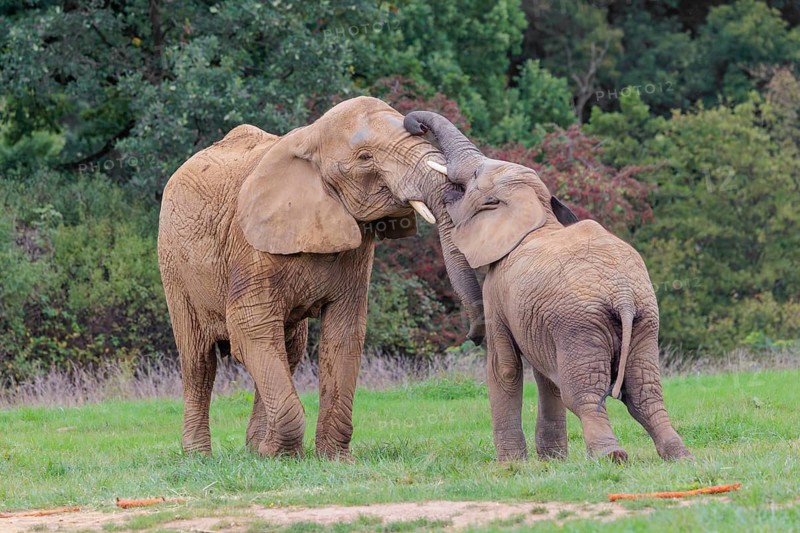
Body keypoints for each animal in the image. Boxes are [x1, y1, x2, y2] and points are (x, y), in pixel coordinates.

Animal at [158, 97, 484, 459]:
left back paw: (254, 448)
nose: (474, 335)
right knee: (199, 361)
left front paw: (330, 459)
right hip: (173, 265)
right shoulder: (249, 243)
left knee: (288, 349)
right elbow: (249, 324)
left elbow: (343, 332)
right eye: (365, 157)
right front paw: (279, 456)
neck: (310, 138)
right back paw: (199, 456)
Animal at [404, 111, 691, 463]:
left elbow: (505, 366)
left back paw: (611, 457)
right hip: (643, 322)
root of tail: (623, 296)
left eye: (474, 176)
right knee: (644, 394)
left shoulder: (496, 292)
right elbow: (545, 376)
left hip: (580, 325)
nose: (415, 124)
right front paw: (552, 460)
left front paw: (510, 466)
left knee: (583, 394)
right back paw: (679, 456)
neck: (535, 210)